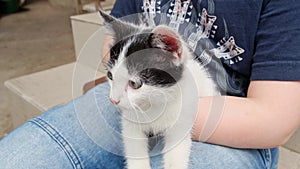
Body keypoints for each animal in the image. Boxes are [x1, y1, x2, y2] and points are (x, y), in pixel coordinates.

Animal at [99, 10, 219, 169]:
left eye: (135, 84)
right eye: (110, 75)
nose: (113, 100)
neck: (155, 102)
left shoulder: (182, 118)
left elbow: (176, 154)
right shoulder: (130, 122)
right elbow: (134, 146)